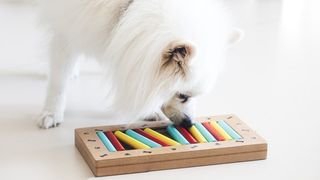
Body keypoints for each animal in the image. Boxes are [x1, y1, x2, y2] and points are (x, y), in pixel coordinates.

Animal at [37, 0, 242, 129]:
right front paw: (51, 113)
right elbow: (58, 82)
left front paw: (147, 111)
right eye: (182, 96)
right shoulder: (67, 30)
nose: (189, 123)